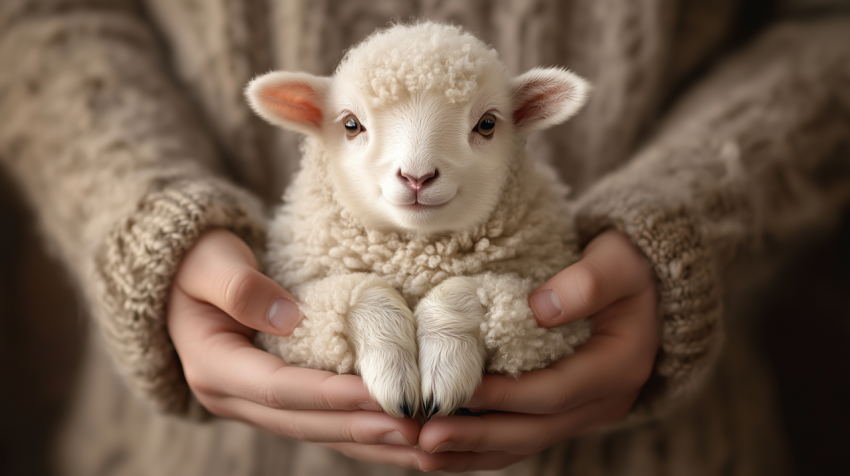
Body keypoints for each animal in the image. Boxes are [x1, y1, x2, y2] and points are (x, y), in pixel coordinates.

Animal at [245, 20, 588, 418]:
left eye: (487, 123)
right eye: (351, 124)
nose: (417, 177)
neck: (417, 254)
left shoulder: (552, 326)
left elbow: (464, 291)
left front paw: (445, 368)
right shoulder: (294, 323)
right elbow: (356, 290)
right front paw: (394, 373)